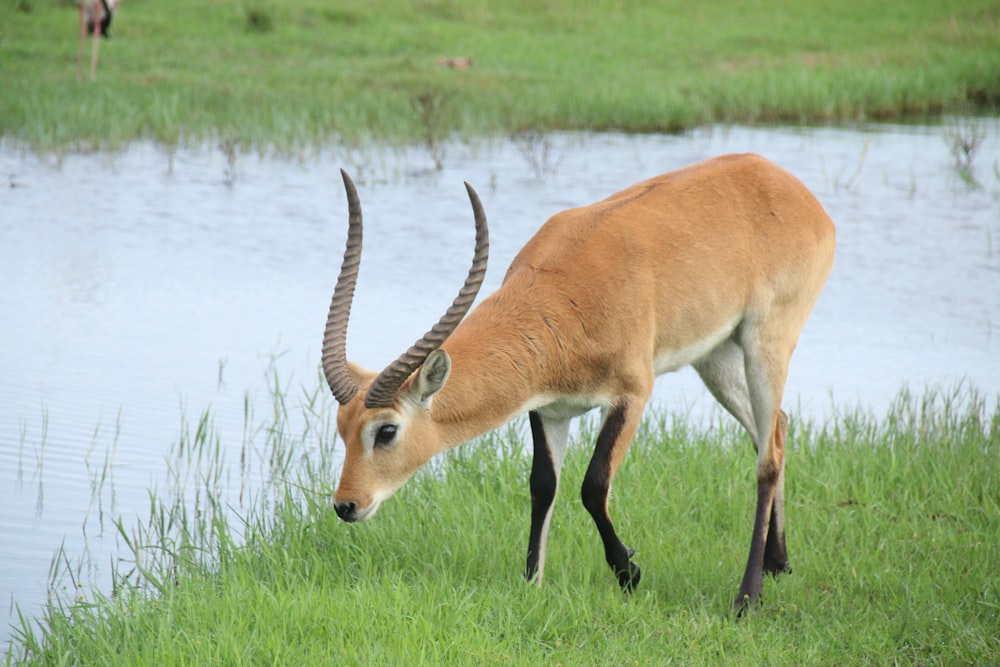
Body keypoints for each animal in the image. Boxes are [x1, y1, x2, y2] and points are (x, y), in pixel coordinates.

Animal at [322, 154, 836, 612]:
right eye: (342, 428)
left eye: (386, 430)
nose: (346, 505)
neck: (564, 297)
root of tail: (790, 187)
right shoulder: (548, 408)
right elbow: (542, 484)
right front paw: (532, 583)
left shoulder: (633, 394)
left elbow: (593, 484)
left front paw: (630, 571)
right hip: (717, 357)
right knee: (775, 428)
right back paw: (778, 563)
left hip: (766, 340)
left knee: (768, 457)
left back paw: (747, 598)